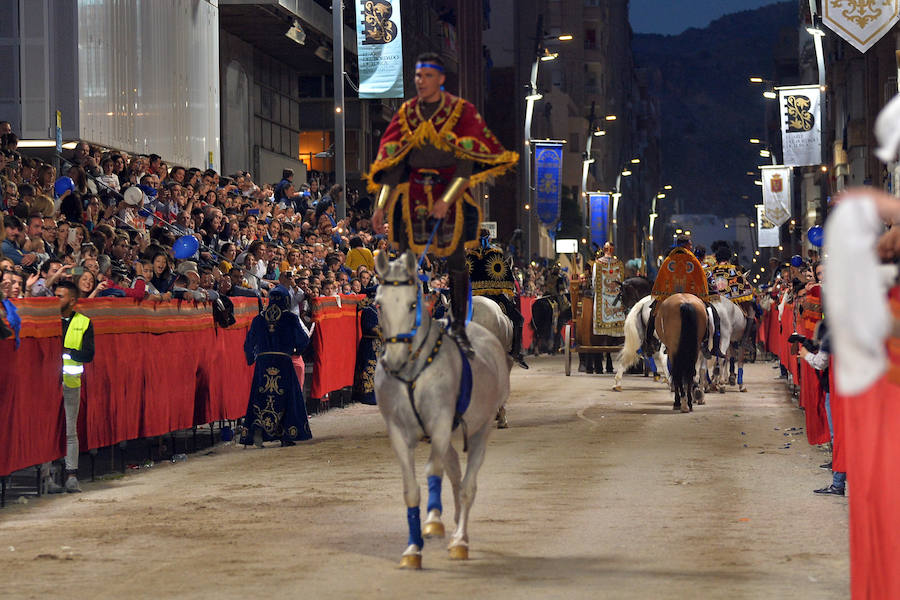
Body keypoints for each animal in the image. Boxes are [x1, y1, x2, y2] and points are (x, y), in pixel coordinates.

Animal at [374, 251, 512, 568]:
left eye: (413, 304)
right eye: (379, 303)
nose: (394, 359)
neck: (413, 371)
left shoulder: (438, 424)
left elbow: (433, 469)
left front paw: (433, 523)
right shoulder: (398, 431)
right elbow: (411, 489)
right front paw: (413, 549)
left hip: (478, 431)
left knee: (467, 485)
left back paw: (460, 541)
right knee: (455, 478)